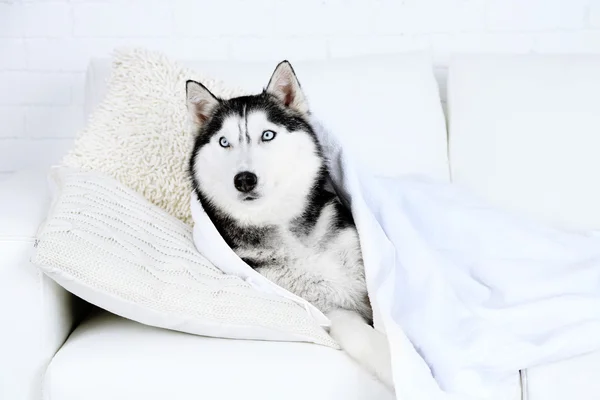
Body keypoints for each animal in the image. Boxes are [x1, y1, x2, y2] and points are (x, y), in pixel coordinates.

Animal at [188, 60, 394, 388]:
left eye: (267, 135)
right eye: (223, 142)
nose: (244, 179)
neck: (295, 239)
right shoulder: (328, 310)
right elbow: (363, 337)